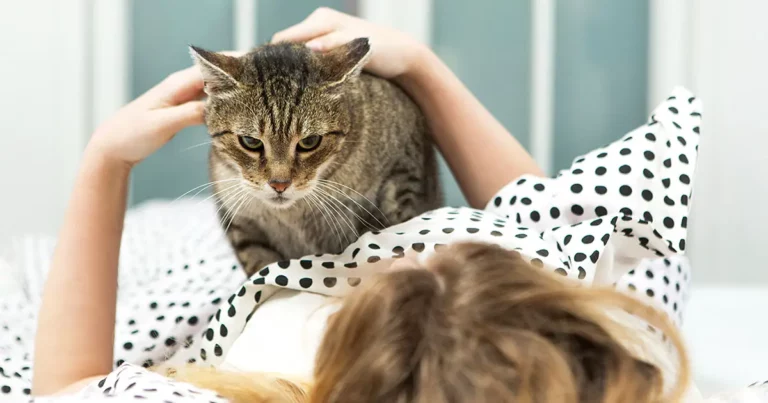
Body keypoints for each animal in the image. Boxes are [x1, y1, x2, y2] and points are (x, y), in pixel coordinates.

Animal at [189, 38, 440, 278]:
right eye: (251, 142)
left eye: (309, 142)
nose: (279, 184)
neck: (294, 213)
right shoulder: (241, 225)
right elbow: (263, 268)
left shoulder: (403, 176)